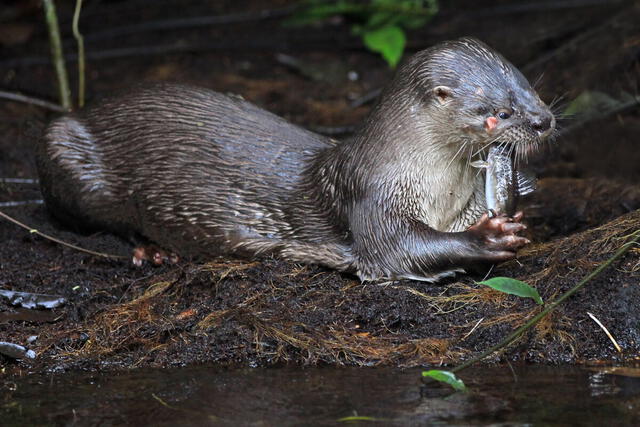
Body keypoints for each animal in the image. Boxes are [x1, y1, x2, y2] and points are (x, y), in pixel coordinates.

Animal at [35, 37, 556, 280]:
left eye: (531, 89)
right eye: (499, 112)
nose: (543, 121)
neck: (434, 186)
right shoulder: (372, 196)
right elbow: (395, 250)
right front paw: (487, 238)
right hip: (65, 152)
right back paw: (152, 251)